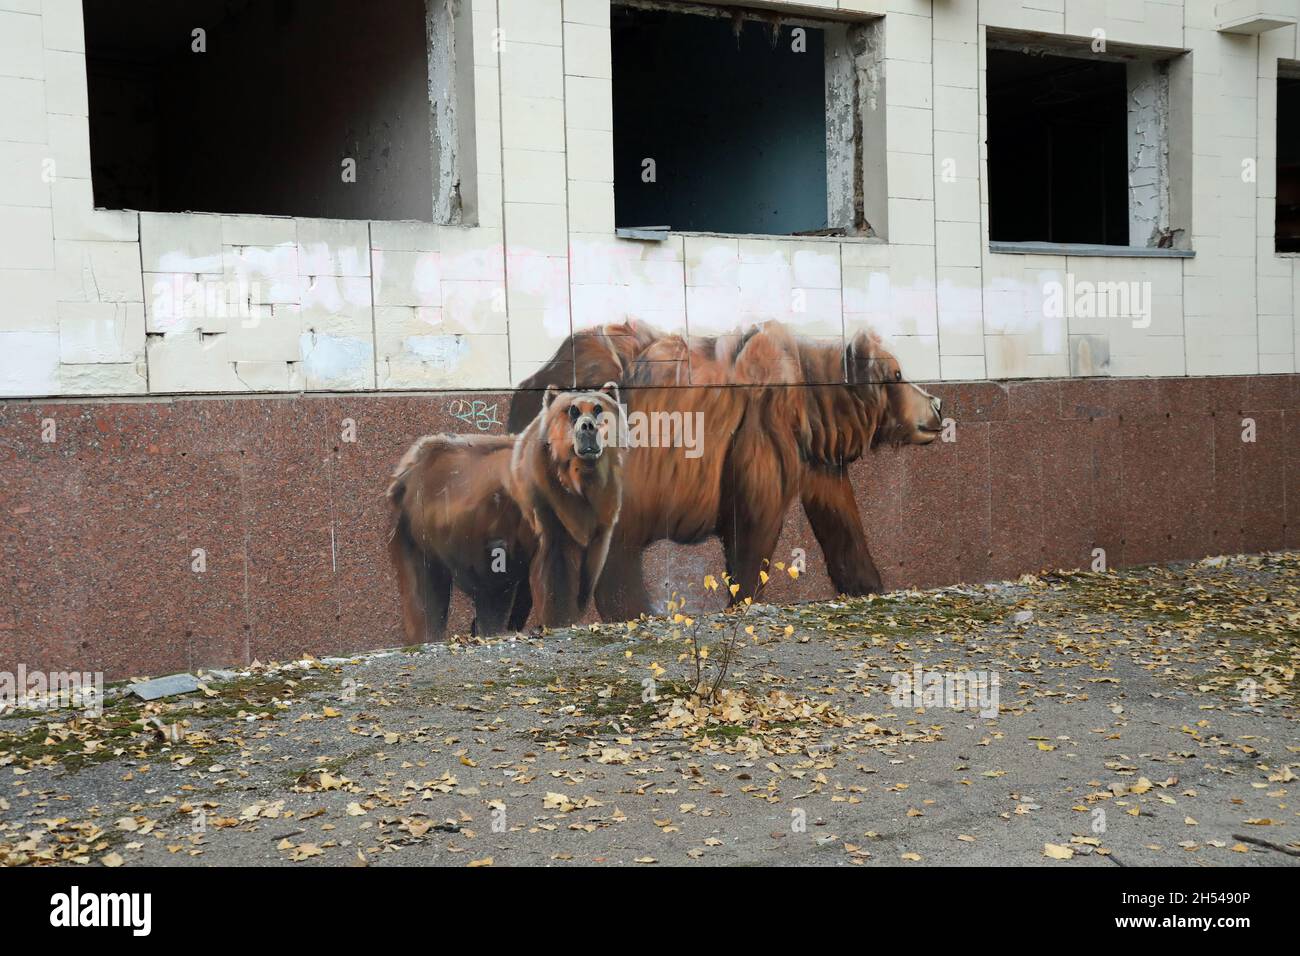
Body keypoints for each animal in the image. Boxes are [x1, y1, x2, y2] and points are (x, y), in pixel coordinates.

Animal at [387, 382, 621, 642]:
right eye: (572, 410)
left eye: (598, 408)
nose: (588, 427)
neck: (578, 483)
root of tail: (406, 468)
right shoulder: (545, 517)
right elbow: (555, 580)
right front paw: (558, 620)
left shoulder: (599, 525)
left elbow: (585, 576)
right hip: (422, 533)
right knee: (426, 592)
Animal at [506, 321, 946, 621]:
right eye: (897, 375)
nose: (937, 405)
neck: (814, 405)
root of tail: (536, 381)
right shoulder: (759, 432)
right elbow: (754, 527)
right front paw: (741, 599)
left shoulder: (815, 462)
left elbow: (842, 520)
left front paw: (868, 585)